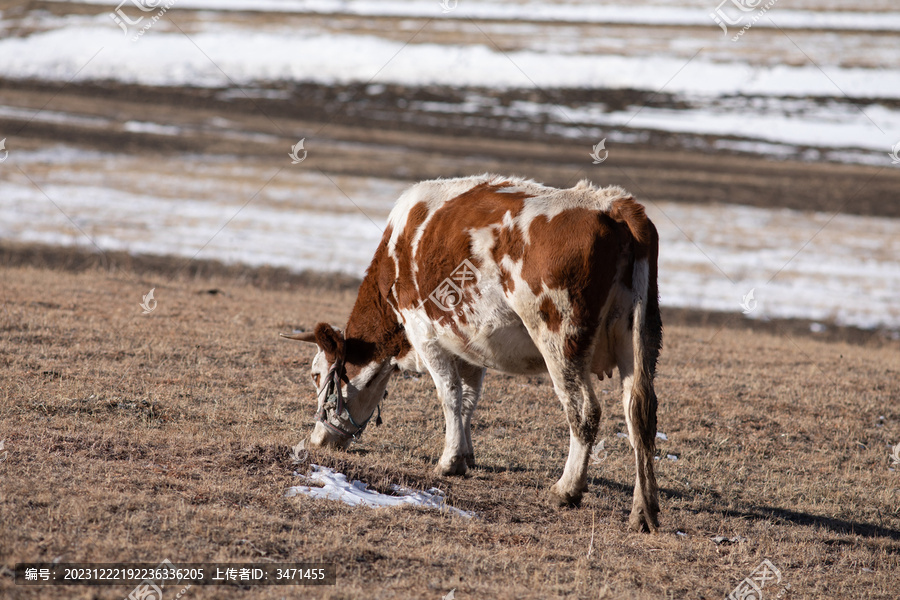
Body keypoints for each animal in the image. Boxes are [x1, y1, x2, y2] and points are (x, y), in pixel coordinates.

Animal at [282, 173, 660, 528]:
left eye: (317, 375)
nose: (318, 440)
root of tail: (611, 203)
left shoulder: (426, 334)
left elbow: (449, 395)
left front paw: (448, 462)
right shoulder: (469, 345)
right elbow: (467, 400)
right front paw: (465, 456)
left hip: (560, 340)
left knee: (584, 411)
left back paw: (567, 489)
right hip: (639, 338)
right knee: (639, 414)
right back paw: (644, 510)